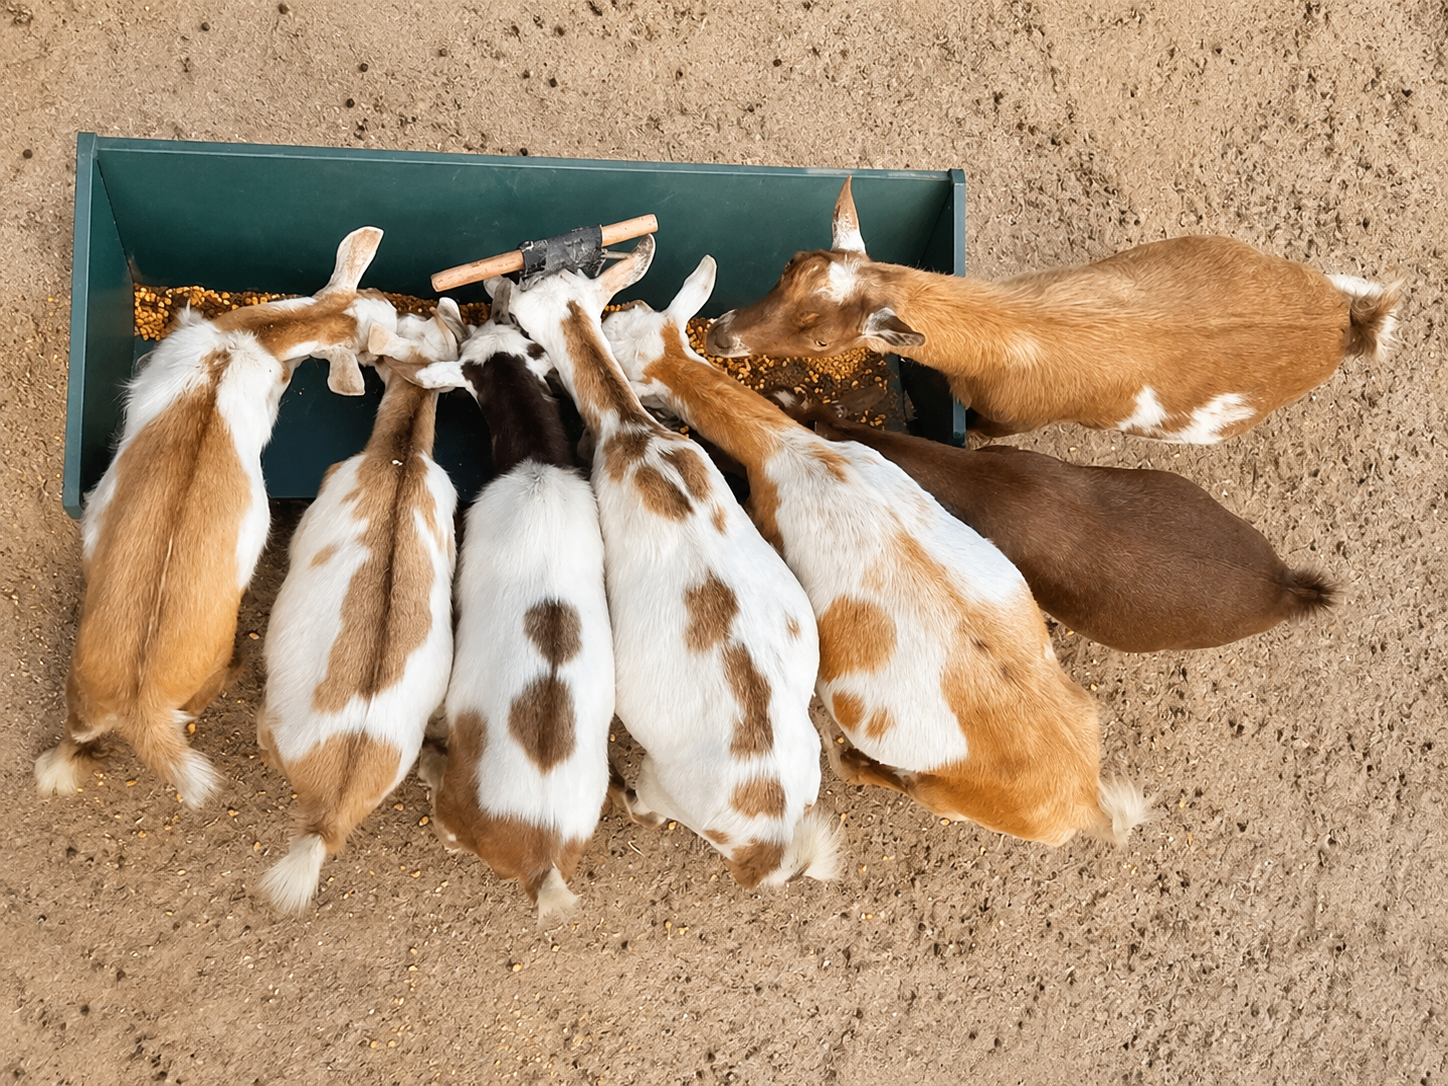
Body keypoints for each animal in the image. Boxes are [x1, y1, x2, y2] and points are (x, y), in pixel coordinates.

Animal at [38, 227, 397, 808]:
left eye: (378, 292)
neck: (246, 342)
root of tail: (139, 706)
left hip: (82, 690)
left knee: (74, 738)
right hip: (202, 676)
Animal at [706, 178, 1401, 443]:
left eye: (823, 343)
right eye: (790, 264)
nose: (719, 336)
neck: (1016, 329)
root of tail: (1342, 319)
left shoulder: (1008, 419)